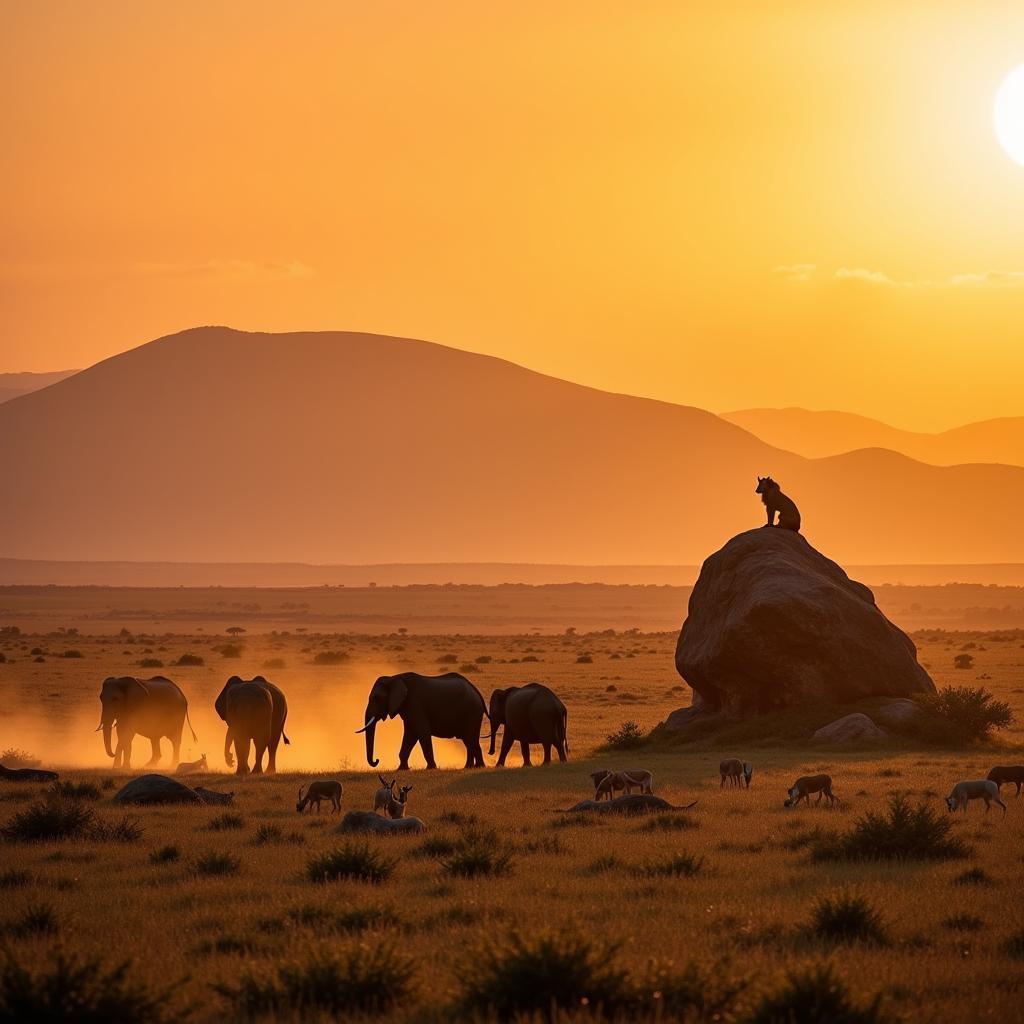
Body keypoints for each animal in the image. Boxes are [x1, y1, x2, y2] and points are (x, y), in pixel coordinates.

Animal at [358, 671, 489, 770]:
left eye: (376, 698)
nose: (377, 760)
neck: (394, 677)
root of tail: (476, 690)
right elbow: (410, 735)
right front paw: (401, 769)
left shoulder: (415, 703)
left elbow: (422, 733)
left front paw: (431, 768)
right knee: (470, 741)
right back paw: (475, 767)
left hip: (472, 712)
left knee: (470, 739)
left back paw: (473, 767)